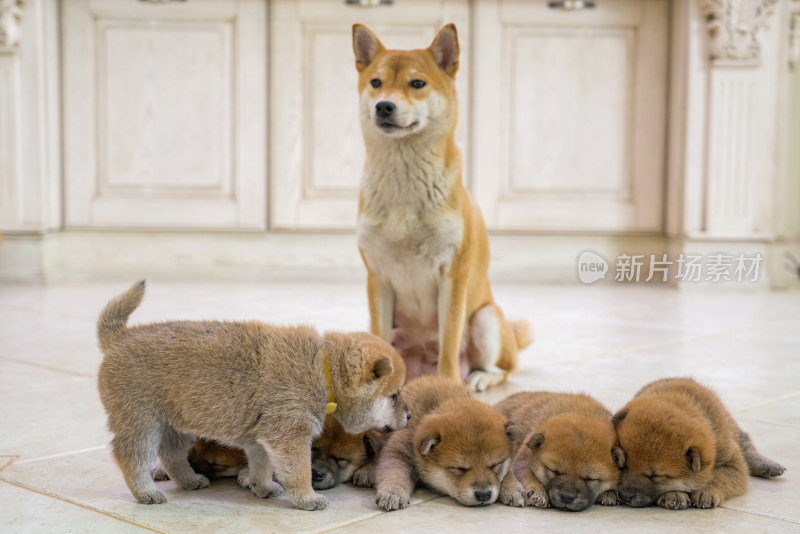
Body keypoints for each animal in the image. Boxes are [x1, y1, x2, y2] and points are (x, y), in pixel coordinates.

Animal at [97, 282, 410, 512]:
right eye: (394, 395)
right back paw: (146, 493)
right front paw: (307, 498)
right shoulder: (290, 437)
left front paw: (264, 488)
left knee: (172, 456)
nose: (409, 415)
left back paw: (190, 480)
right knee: (131, 458)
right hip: (141, 424)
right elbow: (299, 471)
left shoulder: (262, 440)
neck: (323, 370)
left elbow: (262, 466)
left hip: (175, 427)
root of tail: (119, 337)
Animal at [352, 24, 532, 394]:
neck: (404, 179)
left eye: (417, 83)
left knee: (501, 368)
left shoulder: (453, 276)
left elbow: (449, 343)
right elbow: (380, 336)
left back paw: (477, 378)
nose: (384, 106)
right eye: (376, 82)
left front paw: (449, 386)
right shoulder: (378, 278)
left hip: (485, 319)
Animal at [374, 374, 520, 512]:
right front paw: (393, 493)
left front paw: (512, 488)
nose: (483, 495)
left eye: (494, 465)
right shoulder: (398, 452)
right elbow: (395, 472)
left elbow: (507, 472)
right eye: (460, 468)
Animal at [616, 376, 784, 510]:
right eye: (623, 464)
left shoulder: (734, 463)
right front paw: (675, 494)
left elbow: (720, 476)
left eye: (656, 475)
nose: (624, 496)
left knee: (747, 446)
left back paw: (768, 465)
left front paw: (705, 491)